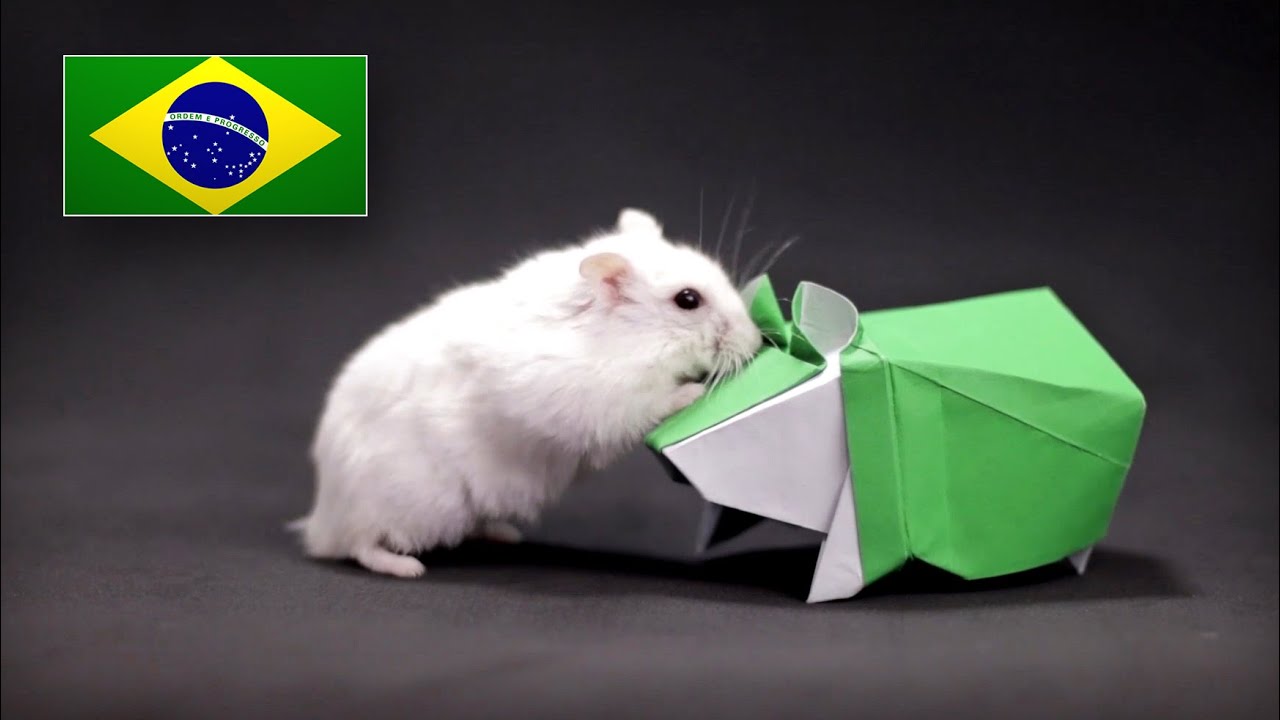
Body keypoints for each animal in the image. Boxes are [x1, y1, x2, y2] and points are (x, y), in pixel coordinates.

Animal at [292, 208, 763, 578]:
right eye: (688, 300)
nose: (758, 342)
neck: (625, 337)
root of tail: (321, 518)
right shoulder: (595, 398)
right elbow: (651, 403)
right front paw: (692, 391)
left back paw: (503, 534)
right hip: (404, 505)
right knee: (360, 545)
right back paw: (407, 567)